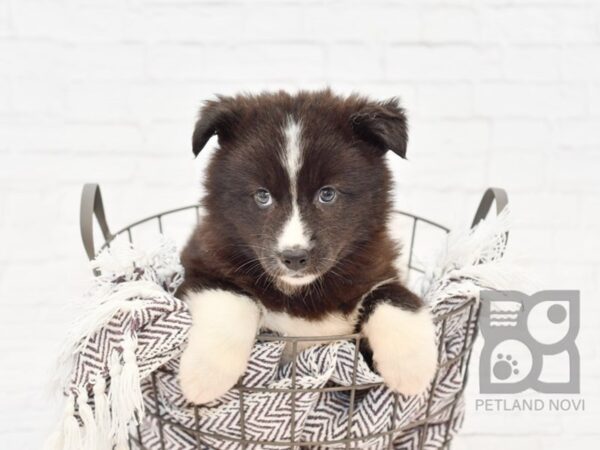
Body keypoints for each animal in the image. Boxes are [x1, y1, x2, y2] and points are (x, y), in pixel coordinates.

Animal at [177, 89, 436, 404]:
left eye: (327, 194)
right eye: (262, 196)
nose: (294, 257)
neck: (300, 292)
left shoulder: (376, 266)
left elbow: (392, 294)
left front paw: (411, 365)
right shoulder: (200, 264)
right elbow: (233, 296)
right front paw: (205, 373)